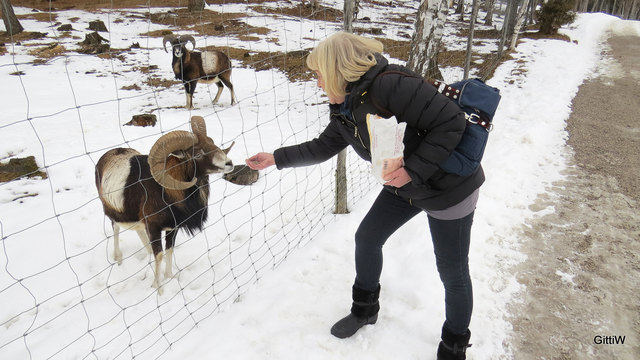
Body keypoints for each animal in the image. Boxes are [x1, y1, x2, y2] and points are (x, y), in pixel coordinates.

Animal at [94, 116, 234, 294]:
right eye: (198, 154)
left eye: (212, 142)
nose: (229, 163)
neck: (165, 192)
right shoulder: (154, 228)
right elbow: (159, 255)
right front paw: (158, 289)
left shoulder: (172, 228)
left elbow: (169, 250)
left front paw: (169, 278)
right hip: (115, 215)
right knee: (116, 229)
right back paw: (118, 259)